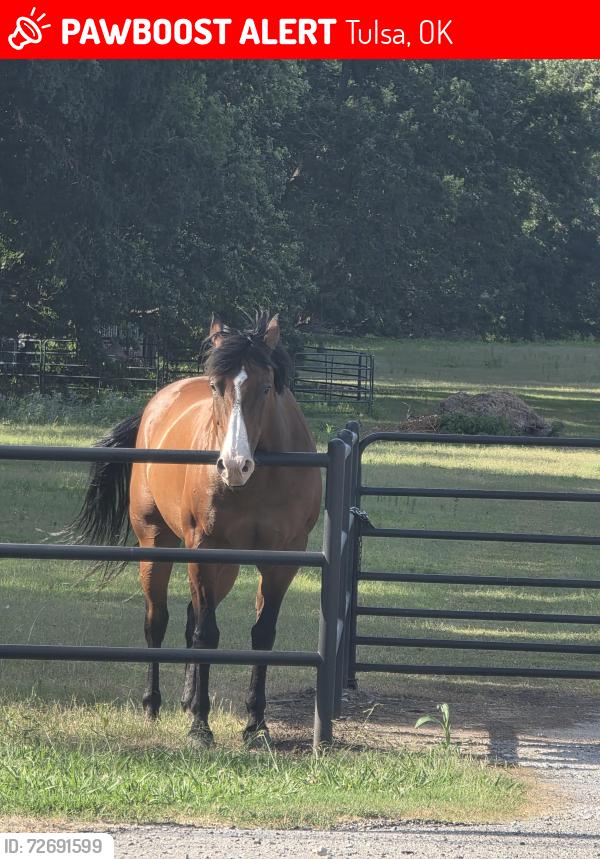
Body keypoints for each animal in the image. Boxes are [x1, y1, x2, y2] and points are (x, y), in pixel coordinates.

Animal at [73, 313, 322, 745]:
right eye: (215, 386)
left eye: (266, 386)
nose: (234, 465)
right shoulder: (204, 551)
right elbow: (207, 634)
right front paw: (201, 727)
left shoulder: (282, 560)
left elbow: (262, 634)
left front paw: (256, 724)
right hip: (157, 545)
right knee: (158, 621)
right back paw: (153, 705)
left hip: (227, 567)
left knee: (191, 617)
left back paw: (188, 700)